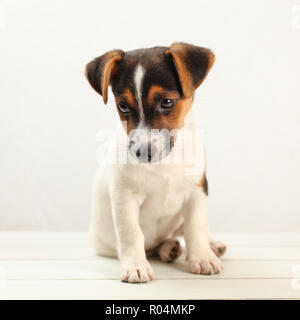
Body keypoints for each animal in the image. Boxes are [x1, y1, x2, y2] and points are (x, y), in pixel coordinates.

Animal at [84, 42, 225, 282]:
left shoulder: (197, 190)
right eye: (123, 106)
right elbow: (131, 233)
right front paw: (136, 266)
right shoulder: (124, 197)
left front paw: (203, 257)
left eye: (167, 102)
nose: (142, 152)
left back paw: (209, 245)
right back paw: (168, 249)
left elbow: (195, 227)